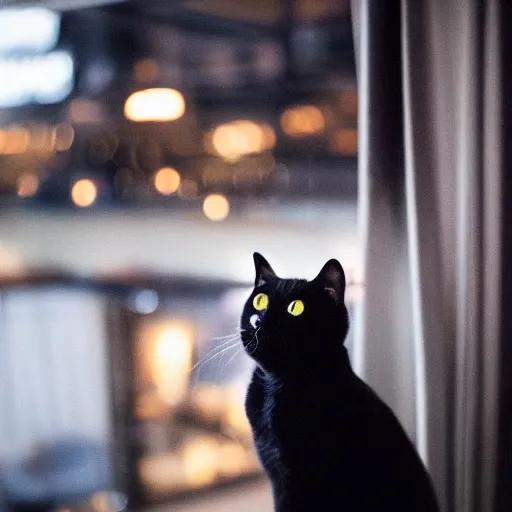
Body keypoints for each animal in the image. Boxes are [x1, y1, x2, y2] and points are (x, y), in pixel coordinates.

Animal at [242, 254, 438, 510]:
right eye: (260, 300)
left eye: (295, 308)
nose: (259, 320)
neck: (274, 386)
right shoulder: (277, 473)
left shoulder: (299, 479)